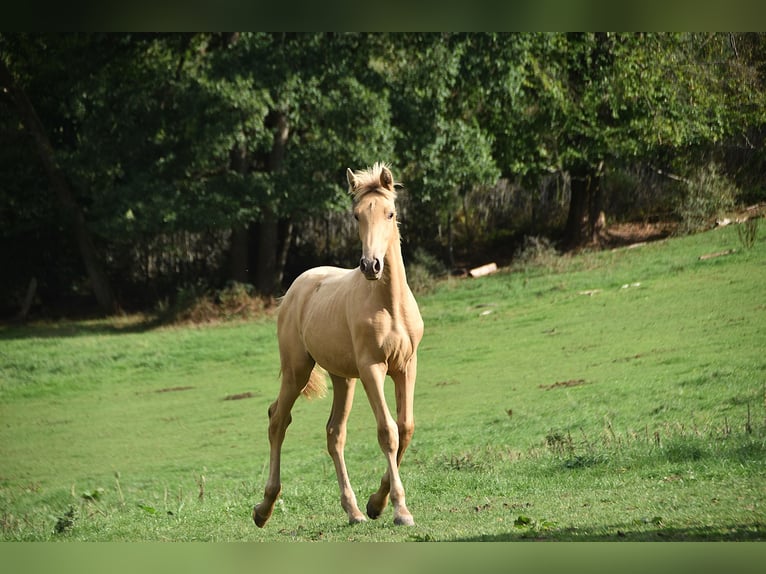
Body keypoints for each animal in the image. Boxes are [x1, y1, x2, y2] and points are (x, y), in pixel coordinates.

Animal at [253, 162, 424, 528]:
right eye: (357, 215)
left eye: (390, 213)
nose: (371, 265)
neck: (389, 305)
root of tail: (295, 289)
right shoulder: (372, 369)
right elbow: (387, 431)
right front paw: (400, 509)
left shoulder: (406, 366)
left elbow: (405, 428)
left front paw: (377, 504)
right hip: (297, 370)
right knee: (277, 420)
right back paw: (264, 509)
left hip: (343, 378)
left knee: (334, 433)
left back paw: (354, 510)